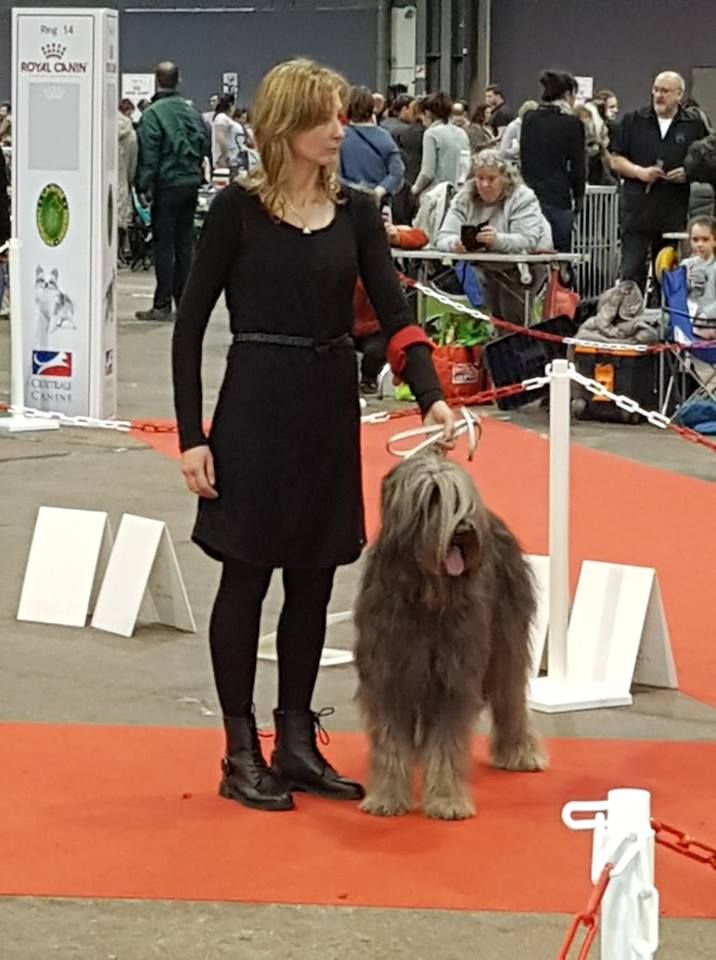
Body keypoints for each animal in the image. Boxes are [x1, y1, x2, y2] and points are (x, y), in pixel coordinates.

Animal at [354, 452, 547, 820]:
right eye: (431, 497)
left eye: (462, 499)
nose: (464, 530)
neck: (425, 596)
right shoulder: (388, 675)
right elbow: (390, 741)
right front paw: (387, 797)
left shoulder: (452, 678)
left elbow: (445, 743)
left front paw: (447, 800)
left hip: (505, 642)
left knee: (510, 695)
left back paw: (519, 752)